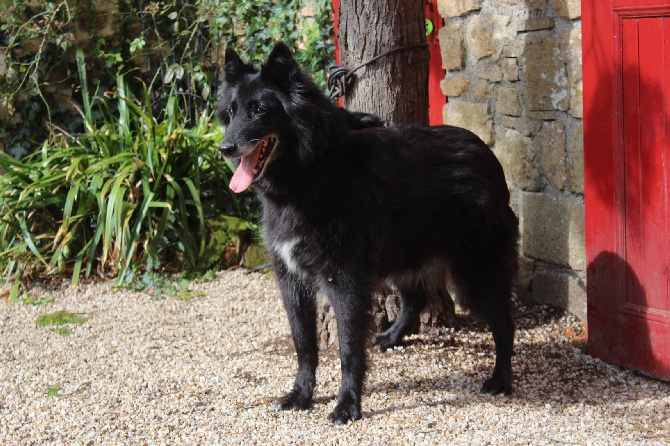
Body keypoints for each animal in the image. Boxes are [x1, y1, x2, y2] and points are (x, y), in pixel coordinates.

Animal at [219, 43, 520, 424]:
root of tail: (488, 156)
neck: (311, 170)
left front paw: (348, 405)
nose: (224, 148)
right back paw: (391, 338)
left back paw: (501, 380)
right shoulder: (292, 282)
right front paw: (301, 395)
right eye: (231, 112)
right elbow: (304, 345)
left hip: (475, 274)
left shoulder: (345, 281)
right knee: (415, 299)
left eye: (258, 110)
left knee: (504, 324)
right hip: (409, 252)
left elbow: (349, 349)